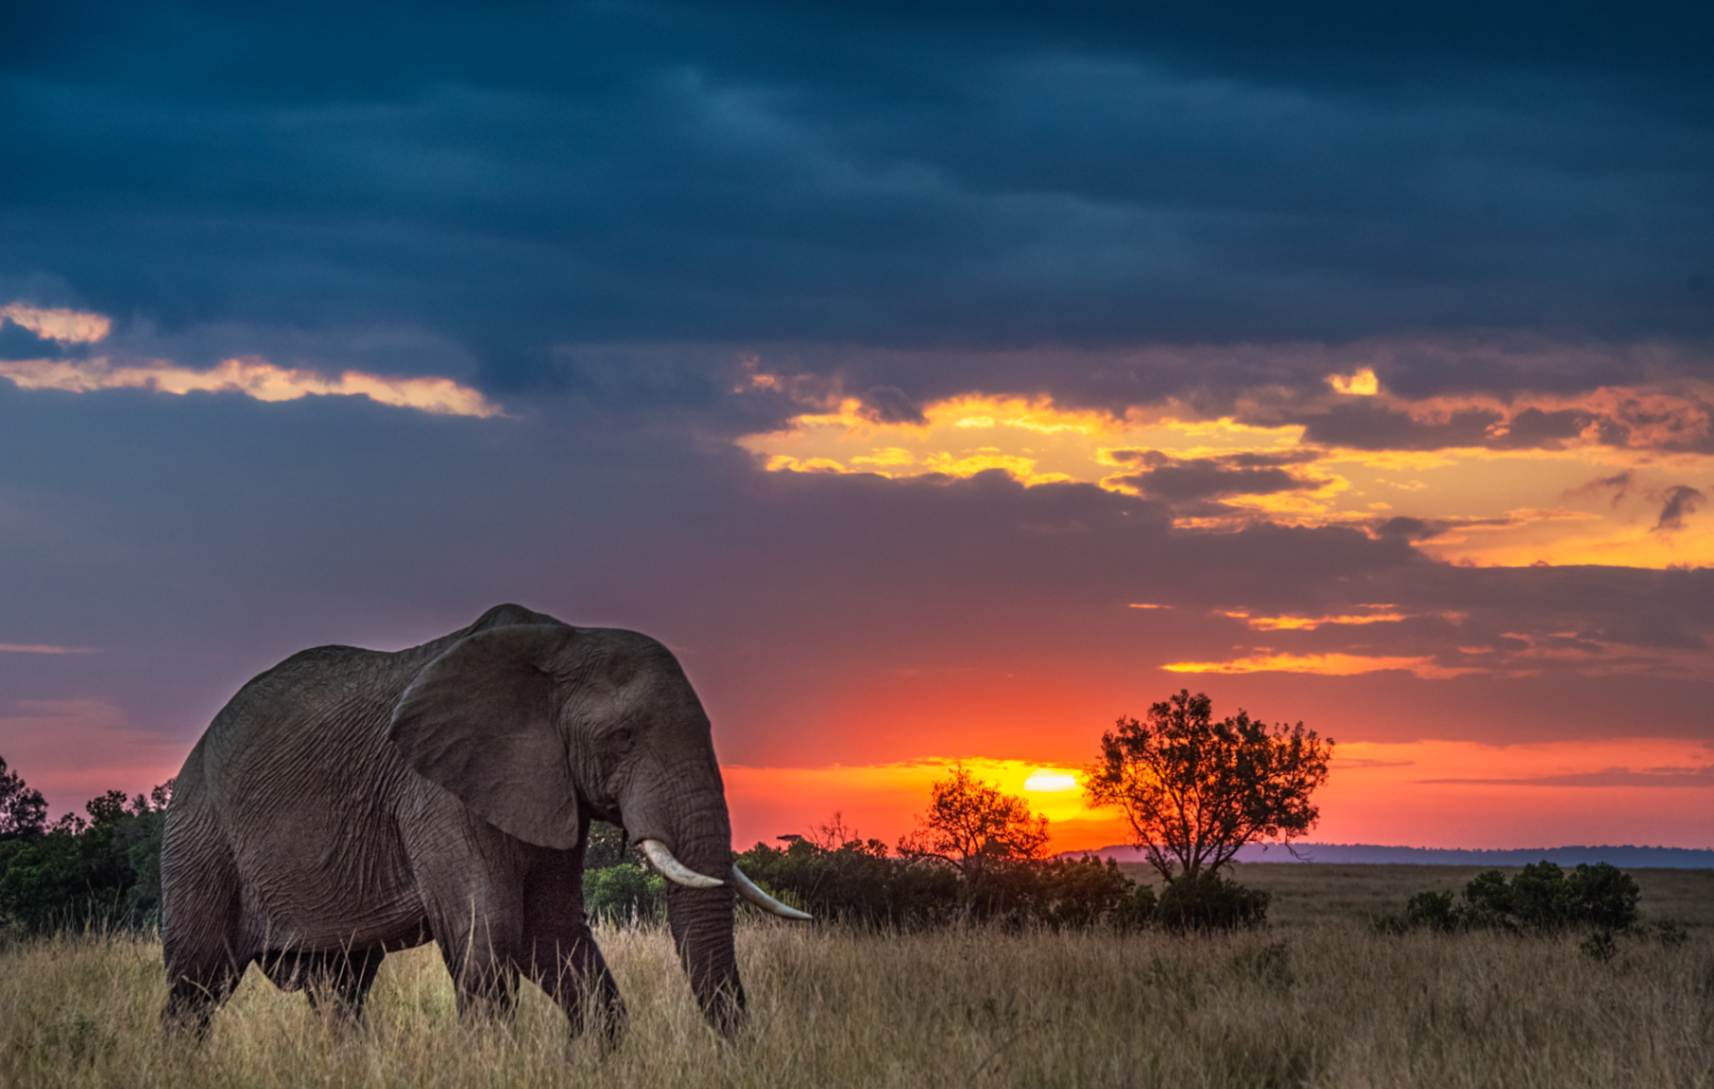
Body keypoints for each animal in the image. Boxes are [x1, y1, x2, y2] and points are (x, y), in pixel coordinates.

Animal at [159, 603, 807, 1041]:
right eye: (622, 738)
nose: (738, 1053)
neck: (562, 644)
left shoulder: (544, 784)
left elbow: (552, 931)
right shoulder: (436, 791)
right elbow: (492, 930)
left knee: (341, 987)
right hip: (199, 834)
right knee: (196, 982)